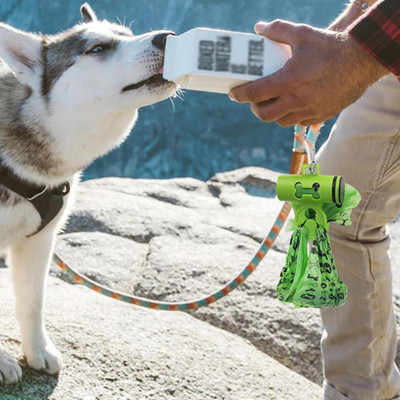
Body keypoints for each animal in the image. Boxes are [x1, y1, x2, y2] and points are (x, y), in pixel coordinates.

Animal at [0, 3, 175, 384]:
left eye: (127, 35)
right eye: (97, 48)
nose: (168, 37)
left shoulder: (39, 241)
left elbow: (33, 301)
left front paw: (37, 350)